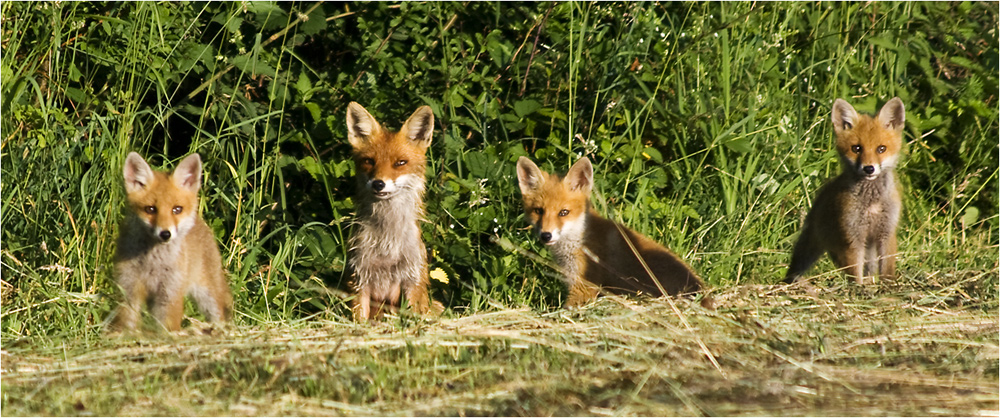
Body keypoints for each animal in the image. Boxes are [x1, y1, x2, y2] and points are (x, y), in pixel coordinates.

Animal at [110, 152, 233, 332]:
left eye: (177, 209)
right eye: (150, 209)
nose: (165, 234)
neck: (152, 264)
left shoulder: (170, 294)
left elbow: (168, 328)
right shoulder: (128, 288)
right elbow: (127, 323)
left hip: (208, 296)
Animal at [346, 101, 444, 320]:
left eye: (400, 163)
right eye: (369, 161)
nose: (378, 184)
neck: (386, 246)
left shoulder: (412, 278)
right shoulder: (359, 277)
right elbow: (359, 318)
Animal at [784, 97, 912, 284]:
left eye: (881, 149)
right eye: (856, 148)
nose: (869, 169)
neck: (872, 204)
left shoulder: (887, 232)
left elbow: (887, 270)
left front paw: (887, 286)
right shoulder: (852, 236)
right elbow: (855, 274)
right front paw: (858, 288)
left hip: (869, 248)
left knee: (869, 268)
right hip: (814, 244)